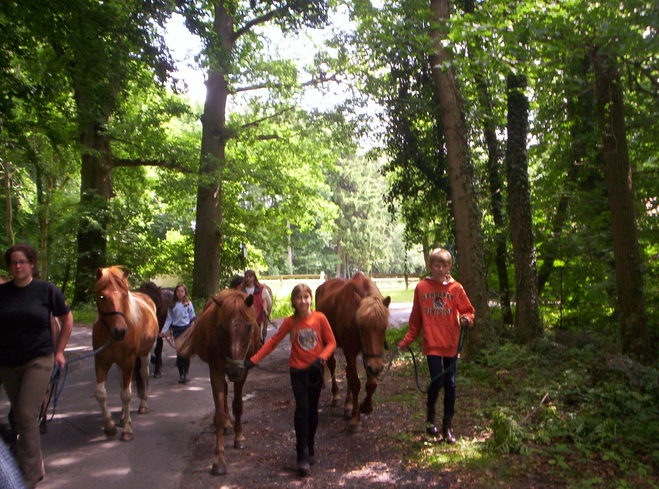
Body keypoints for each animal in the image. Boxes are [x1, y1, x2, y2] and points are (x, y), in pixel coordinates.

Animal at [92, 266, 159, 442]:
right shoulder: (101, 361)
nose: (120, 331)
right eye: (103, 296)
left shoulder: (129, 361)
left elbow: (127, 395)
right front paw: (110, 427)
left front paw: (127, 431)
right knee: (122, 383)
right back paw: (123, 417)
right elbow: (101, 393)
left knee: (143, 375)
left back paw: (143, 406)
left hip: (144, 354)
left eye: (123, 295)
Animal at [175, 288, 260, 474]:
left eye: (249, 327)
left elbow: (238, 405)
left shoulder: (243, 371)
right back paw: (227, 425)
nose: (234, 370)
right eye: (222, 327)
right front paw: (219, 460)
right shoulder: (215, 371)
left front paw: (239, 437)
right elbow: (219, 415)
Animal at [316, 272, 392, 432]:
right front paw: (355, 420)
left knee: (348, 373)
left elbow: (370, 383)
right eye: (362, 327)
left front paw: (365, 406)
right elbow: (356, 383)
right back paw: (336, 396)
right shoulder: (350, 351)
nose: (376, 367)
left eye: (383, 327)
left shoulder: (368, 355)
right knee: (332, 366)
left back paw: (348, 405)